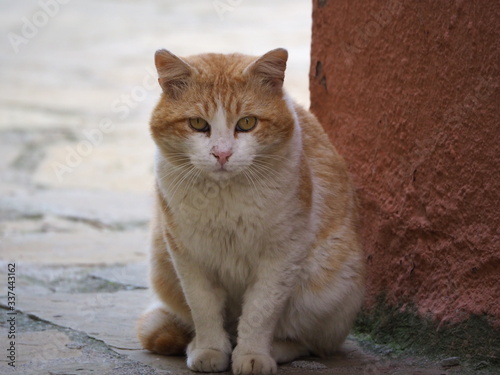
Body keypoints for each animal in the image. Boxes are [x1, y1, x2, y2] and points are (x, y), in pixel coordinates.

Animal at [136, 47, 364, 375]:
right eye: (197, 124)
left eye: (246, 123)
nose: (222, 154)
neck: (224, 197)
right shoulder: (188, 256)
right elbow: (203, 309)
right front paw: (209, 349)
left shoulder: (280, 257)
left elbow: (260, 312)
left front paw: (253, 355)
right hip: (161, 263)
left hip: (326, 285)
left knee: (310, 343)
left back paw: (277, 349)